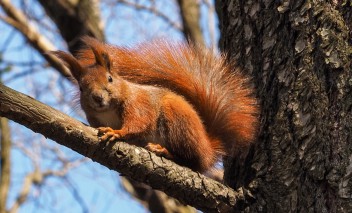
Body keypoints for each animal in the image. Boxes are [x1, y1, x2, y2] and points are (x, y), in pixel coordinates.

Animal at [52, 37, 258, 173]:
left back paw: (165, 151)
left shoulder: (138, 104)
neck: (108, 110)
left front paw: (116, 132)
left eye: (110, 79)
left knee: (191, 161)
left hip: (177, 121)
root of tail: (208, 147)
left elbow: (137, 124)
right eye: (81, 88)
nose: (97, 97)